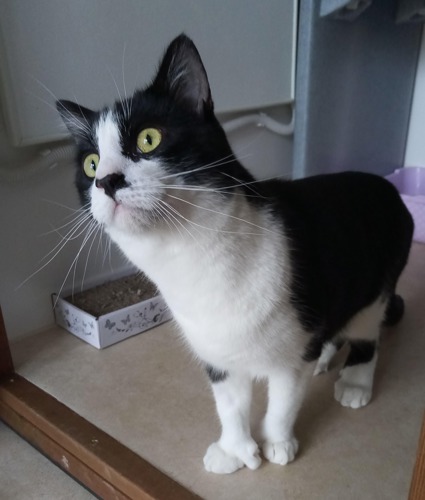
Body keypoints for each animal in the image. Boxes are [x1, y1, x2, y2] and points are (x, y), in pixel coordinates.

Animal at [55, 34, 410, 472]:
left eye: (148, 139)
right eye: (90, 164)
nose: (106, 180)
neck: (191, 258)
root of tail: (387, 186)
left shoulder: (293, 352)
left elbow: (283, 402)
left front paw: (277, 444)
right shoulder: (217, 353)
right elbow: (230, 404)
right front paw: (235, 450)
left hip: (378, 283)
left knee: (367, 328)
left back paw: (355, 382)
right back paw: (328, 358)